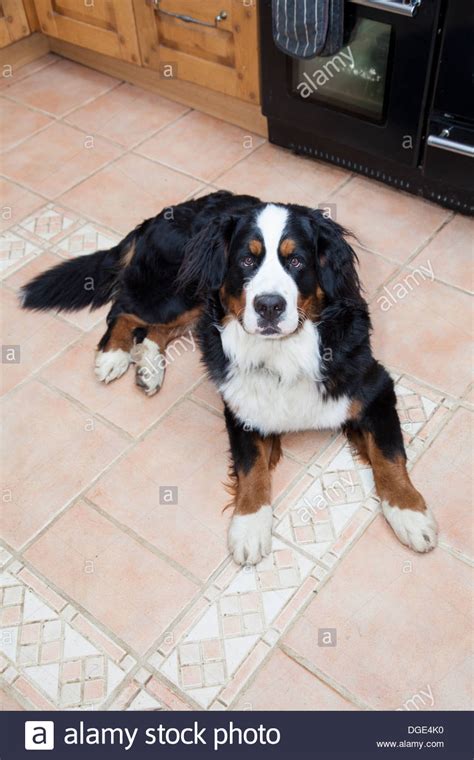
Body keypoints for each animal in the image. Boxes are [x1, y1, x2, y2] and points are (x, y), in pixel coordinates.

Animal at [21, 191, 436, 564]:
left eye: (296, 261)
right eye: (247, 260)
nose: (269, 306)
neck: (284, 350)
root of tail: (164, 214)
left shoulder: (374, 388)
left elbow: (389, 456)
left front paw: (410, 513)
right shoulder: (241, 407)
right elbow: (251, 469)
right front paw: (249, 527)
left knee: (157, 329)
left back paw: (149, 367)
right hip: (181, 291)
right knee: (124, 310)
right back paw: (114, 356)